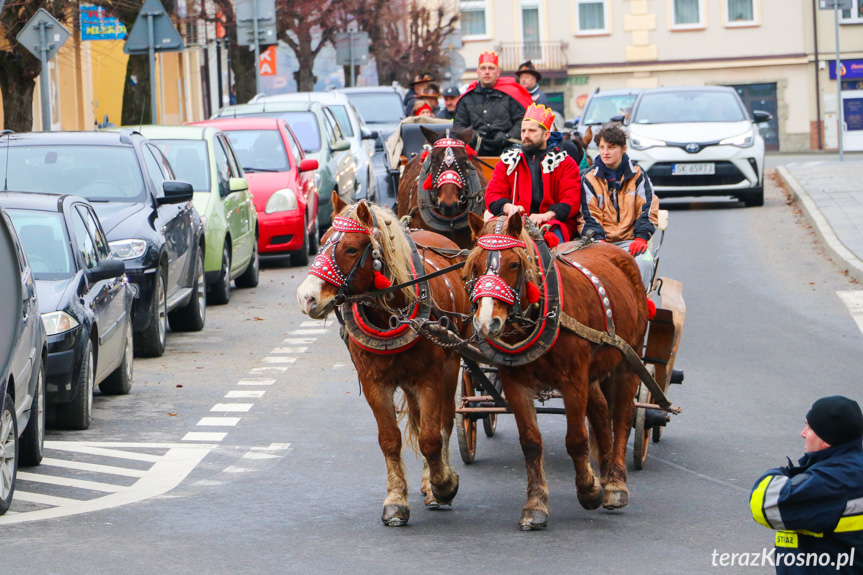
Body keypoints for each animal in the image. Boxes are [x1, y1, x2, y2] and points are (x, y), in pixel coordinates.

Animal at [296, 192, 472, 528]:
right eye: (321, 241)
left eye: (351, 248)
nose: (307, 297)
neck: (392, 314)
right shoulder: (375, 382)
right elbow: (390, 439)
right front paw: (396, 500)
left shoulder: (431, 378)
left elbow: (431, 437)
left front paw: (444, 484)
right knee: (418, 419)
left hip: (452, 364)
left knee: (442, 421)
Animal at [466, 212, 648, 532]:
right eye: (475, 265)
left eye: (514, 264)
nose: (487, 323)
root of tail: (613, 249)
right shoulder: (515, 384)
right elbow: (530, 443)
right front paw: (535, 505)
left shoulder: (574, 380)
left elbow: (576, 439)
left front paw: (589, 490)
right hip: (595, 371)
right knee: (601, 412)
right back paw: (604, 469)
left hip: (629, 359)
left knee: (622, 416)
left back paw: (615, 484)